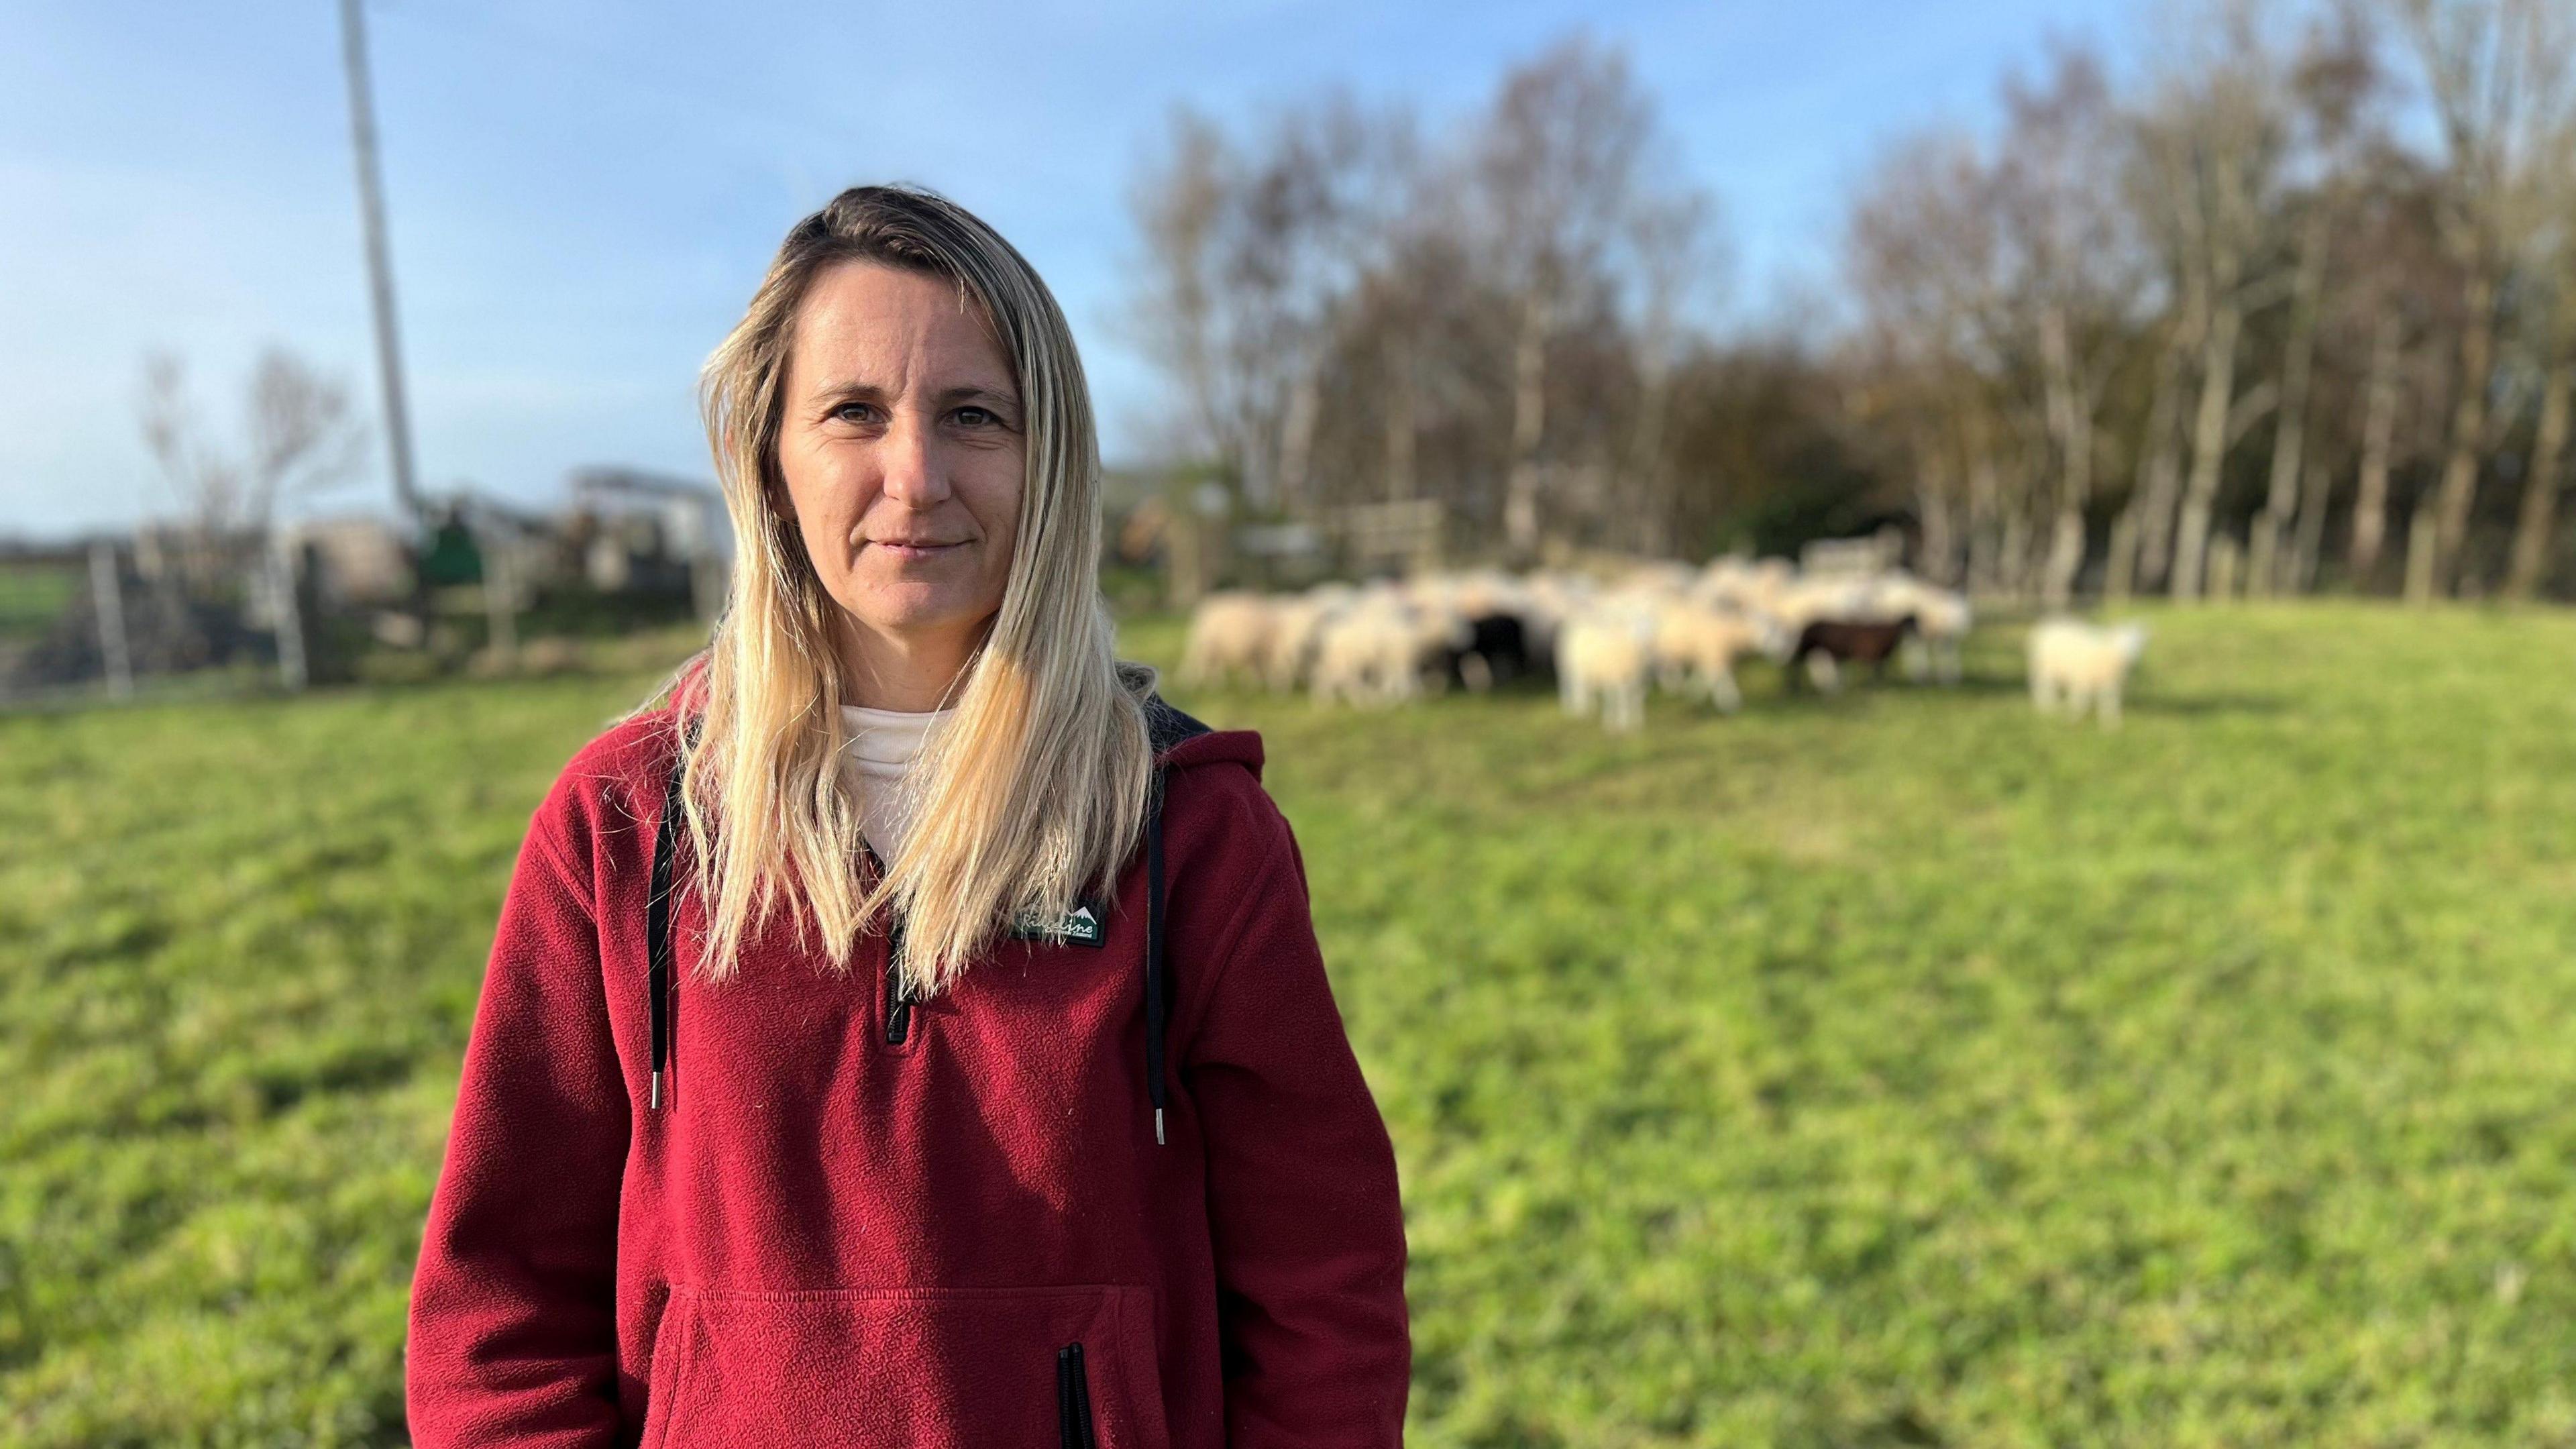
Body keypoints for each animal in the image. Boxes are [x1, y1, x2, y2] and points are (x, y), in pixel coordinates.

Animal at [2019, 610, 2143, 722]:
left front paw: (2112, 721)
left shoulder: (2110, 682)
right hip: (2045, 665)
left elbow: (2110, 701)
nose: (2133, 655)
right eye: (2123, 640)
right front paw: (2075, 716)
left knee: (2048, 685)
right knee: (2043, 685)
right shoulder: (2082, 676)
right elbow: (2081, 698)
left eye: (2138, 642)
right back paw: (2047, 706)